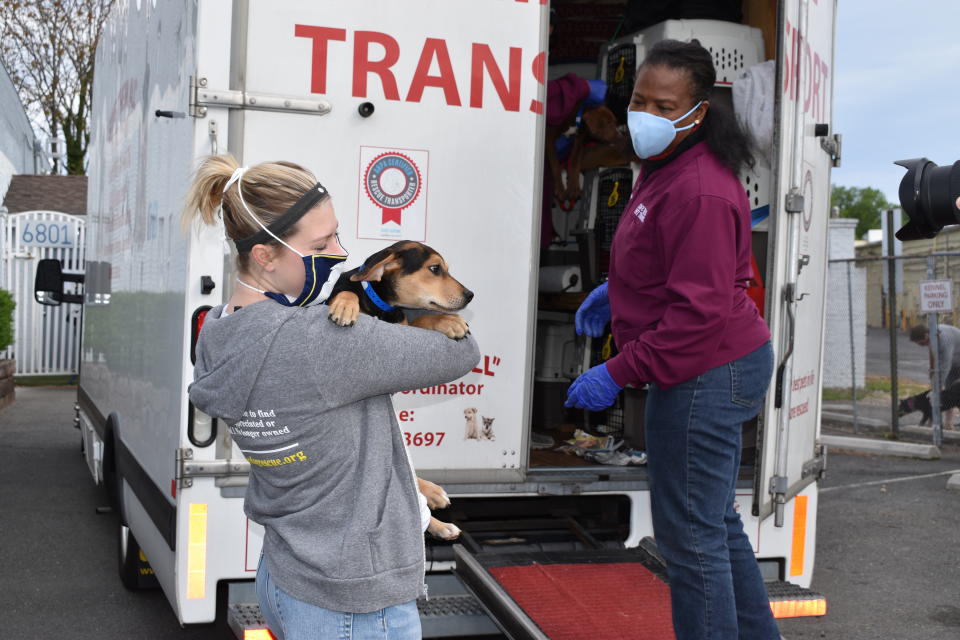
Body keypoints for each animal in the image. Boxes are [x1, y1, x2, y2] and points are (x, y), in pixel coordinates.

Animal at [324, 240, 470, 540]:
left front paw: (447, 322)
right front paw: (344, 306)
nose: (470, 295)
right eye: (435, 269)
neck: (384, 309)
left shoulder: (403, 325)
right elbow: (347, 290)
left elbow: (422, 320)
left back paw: (438, 513)